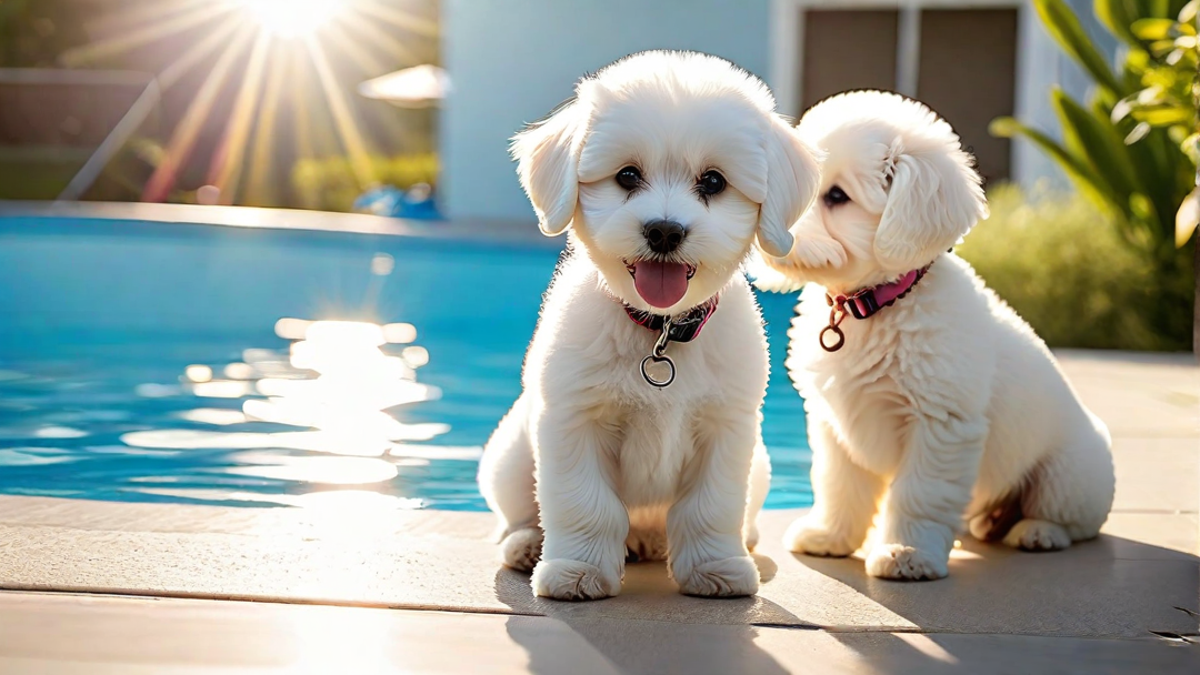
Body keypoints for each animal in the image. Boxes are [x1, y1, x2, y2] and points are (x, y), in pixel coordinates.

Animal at [472, 51, 820, 598]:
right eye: (628, 175)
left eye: (714, 181)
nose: (664, 231)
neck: (659, 329)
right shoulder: (576, 419)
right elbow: (586, 503)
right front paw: (579, 571)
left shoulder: (726, 427)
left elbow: (711, 506)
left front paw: (717, 569)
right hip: (508, 456)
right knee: (518, 512)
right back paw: (528, 544)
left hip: (759, 464)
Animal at [758, 91, 1113, 581]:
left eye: (836, 196)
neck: (876, 307)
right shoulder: (835, 423)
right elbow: (838, 484)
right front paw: (830, 536)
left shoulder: (940, 424)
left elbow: (917, 495)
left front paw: (906, 553)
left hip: (1070, 474)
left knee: (1071, 520)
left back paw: (1038, 532)